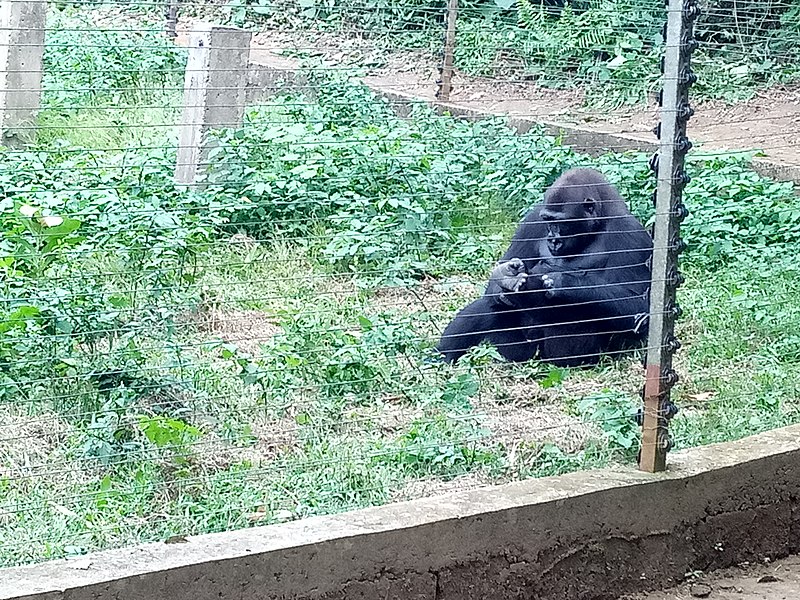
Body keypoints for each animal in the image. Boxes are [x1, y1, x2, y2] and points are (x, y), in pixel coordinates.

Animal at [434, 166, 652, 368]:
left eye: (560, 222)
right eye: (547, 220)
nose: (552, 240)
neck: (598, 224)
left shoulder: (631, 234)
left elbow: (637, 308)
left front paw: (563, 282)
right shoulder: (532, 220)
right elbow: (495, 286)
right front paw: (506, 275)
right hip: (521, 352)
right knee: (493, 303)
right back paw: (440, 358)